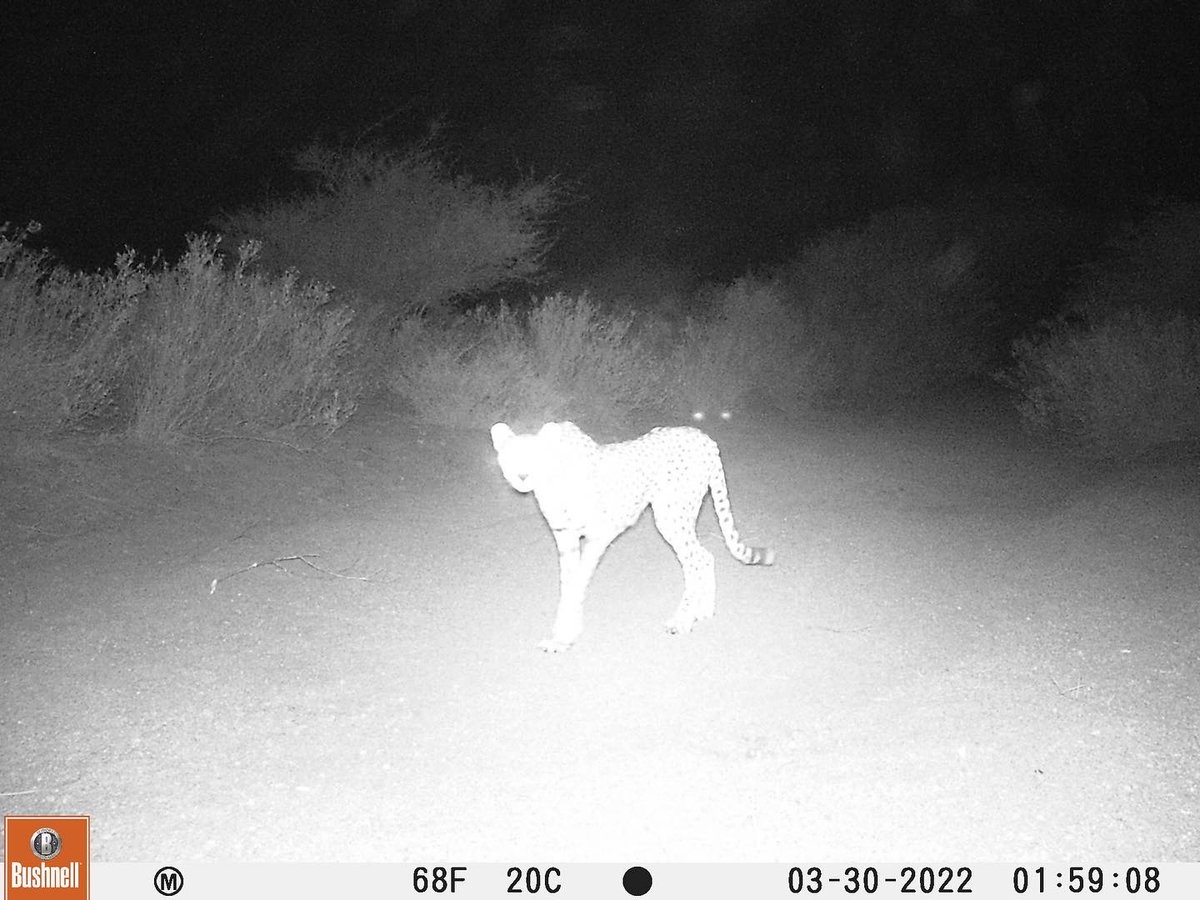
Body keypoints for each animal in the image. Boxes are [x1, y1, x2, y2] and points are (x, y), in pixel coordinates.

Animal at [490, 420, 774, 652]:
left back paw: (683, 620)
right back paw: (703, 609)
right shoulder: (565, 538)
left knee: (697, 560)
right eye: (510, 457)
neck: (554, 479)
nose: (522, 476)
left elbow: (577, 584)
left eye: (537, 457)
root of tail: (702, 435)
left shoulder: (597, 536)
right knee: (706, 557)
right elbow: (568, 585)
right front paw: (563, 633)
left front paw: (565, 637)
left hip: (671, 517)